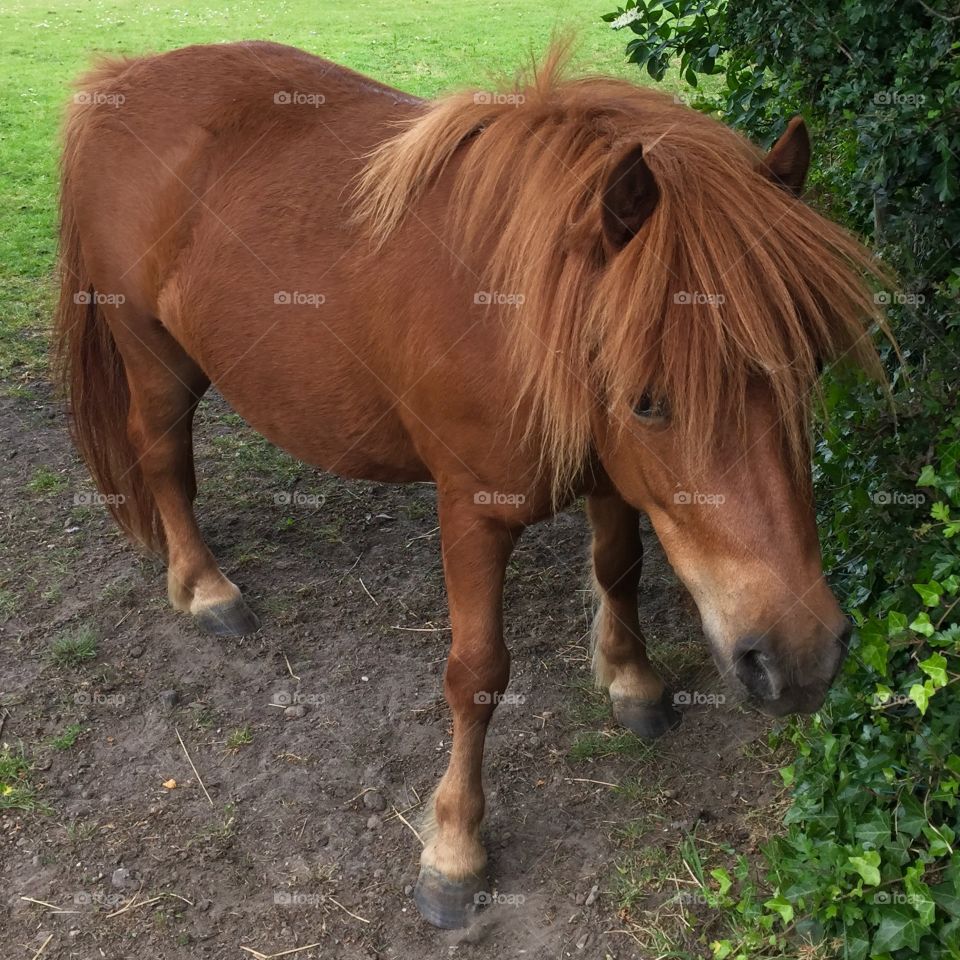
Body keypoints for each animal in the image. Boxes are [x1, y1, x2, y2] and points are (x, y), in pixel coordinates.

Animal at [56, 41, 888, 928]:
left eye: (813, 367)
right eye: (648, 400)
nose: (801, 658)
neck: (520, 313)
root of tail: (124, 75)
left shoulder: (608, 474)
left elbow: (618, 570)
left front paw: (631, 679)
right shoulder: (472, 511)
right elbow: (479, 673)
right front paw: (454, 848)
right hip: (153, 355)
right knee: (162, 462)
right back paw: (206, 588)